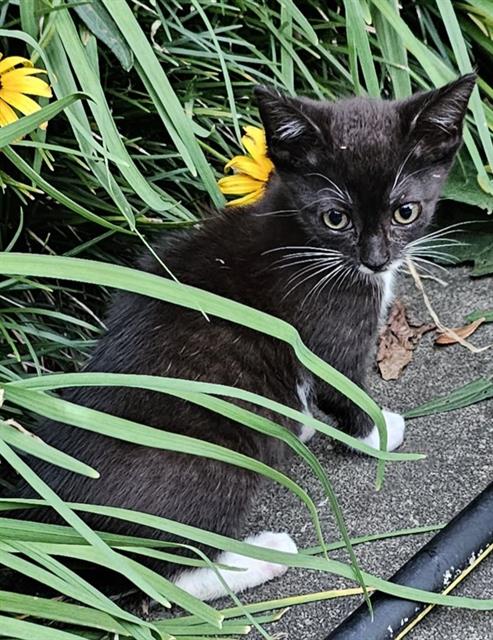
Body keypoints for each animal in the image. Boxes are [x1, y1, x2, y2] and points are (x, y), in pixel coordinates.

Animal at [10, 74, 472, 600]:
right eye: (336, 218)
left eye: (405, 212)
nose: (376, 260)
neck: (305, 241)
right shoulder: (326, 325)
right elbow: (342, 387)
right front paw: (377, 433)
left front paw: (303, 419)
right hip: (208, 458)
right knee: (166, 575)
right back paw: (263, 555)